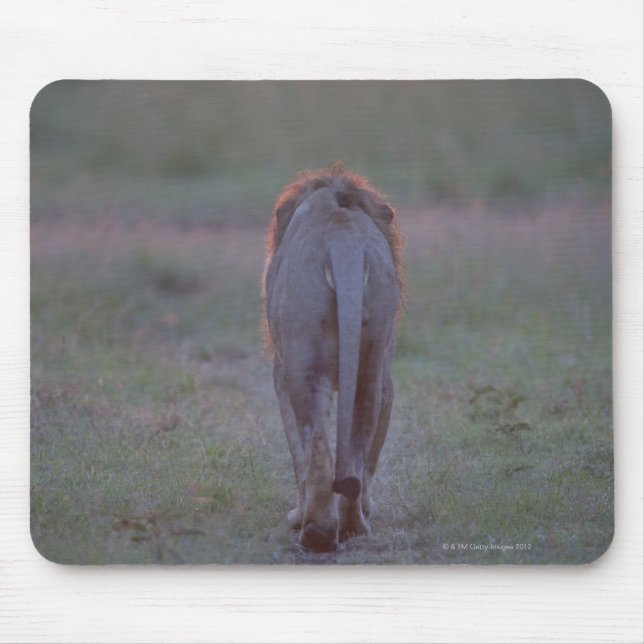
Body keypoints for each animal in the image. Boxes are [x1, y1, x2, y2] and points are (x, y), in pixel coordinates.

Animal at [263, 164, 403, 552]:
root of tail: (344, 241)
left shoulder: (280, 374)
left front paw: (297, 516)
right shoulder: (387, 380)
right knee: (357, 445)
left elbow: (296, 450)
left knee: (316, 446)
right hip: (371, 365)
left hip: (304, 364)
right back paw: (354, 525)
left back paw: (317, 531)